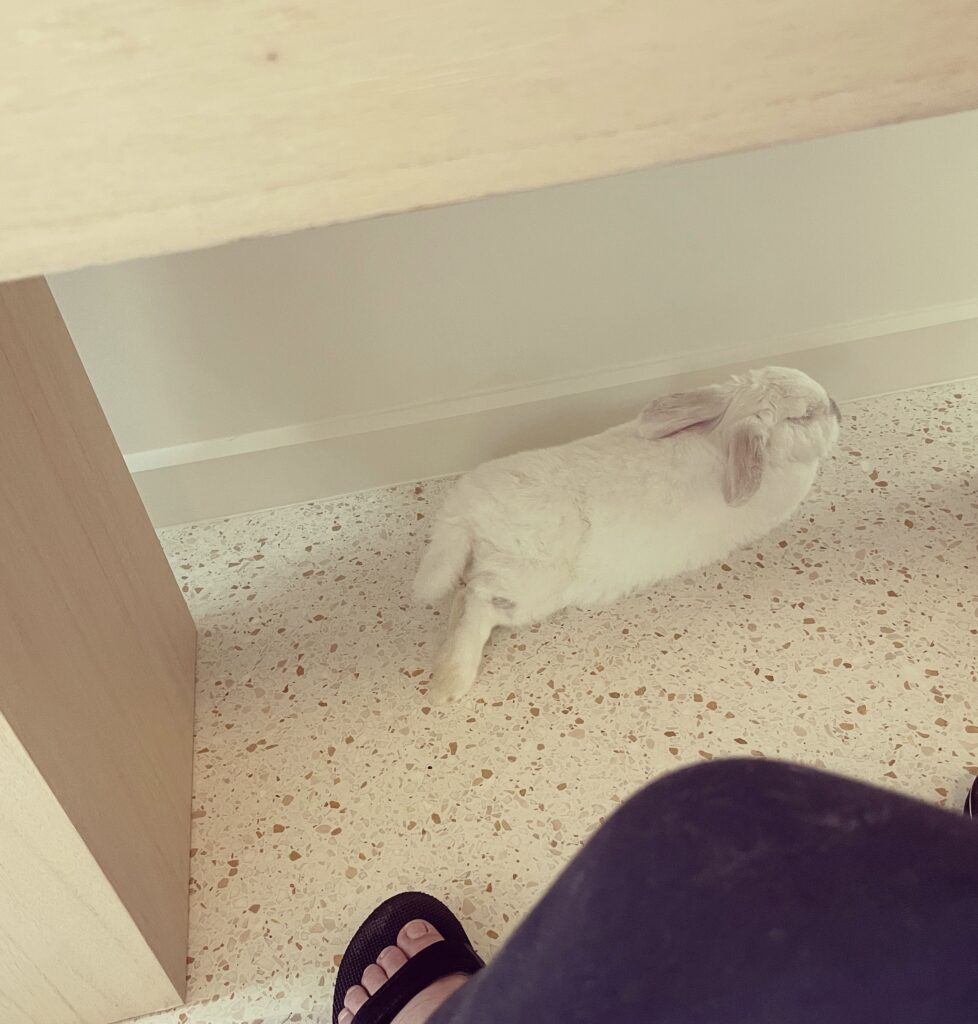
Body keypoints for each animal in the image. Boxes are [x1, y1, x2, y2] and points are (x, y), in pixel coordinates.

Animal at [415, 366, 839, 704]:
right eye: (805, 415)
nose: (836, 406)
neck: (723, 440)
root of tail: (464, 514)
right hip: (529, 584)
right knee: (476, 600)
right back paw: (448, 684)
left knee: (462, 596)